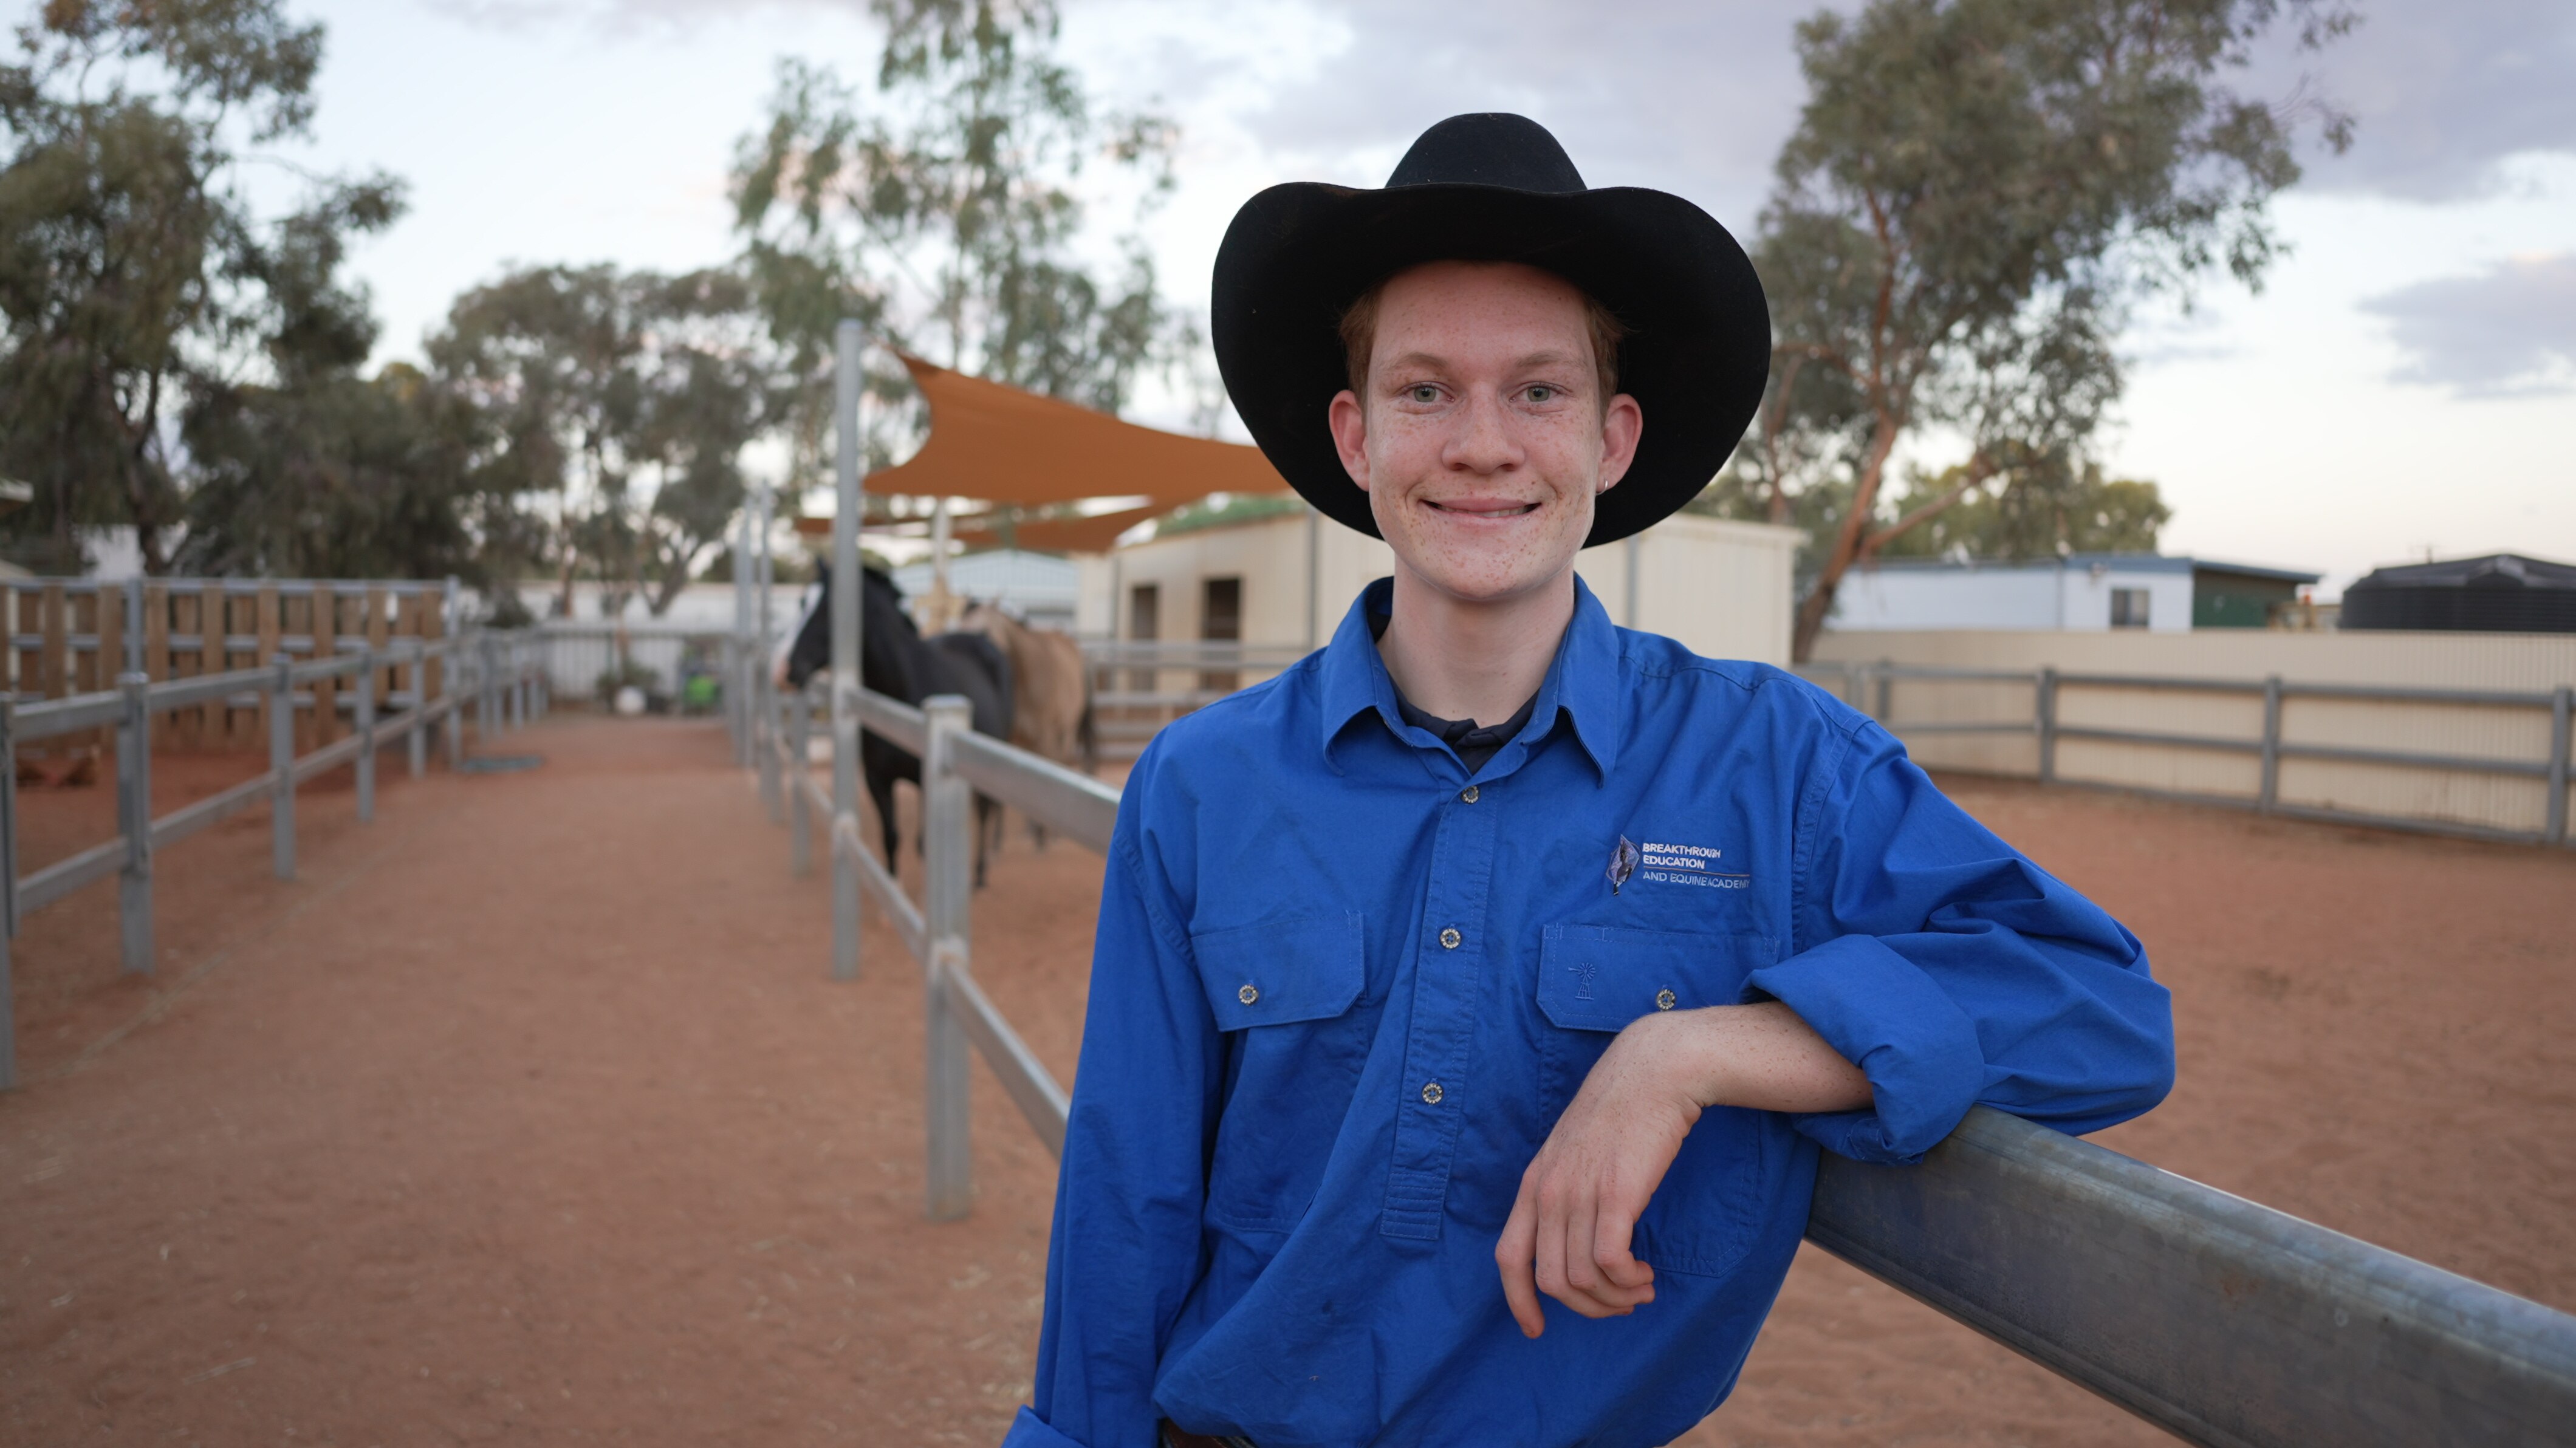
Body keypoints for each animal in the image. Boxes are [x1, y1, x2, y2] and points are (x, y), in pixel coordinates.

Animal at [785, 564, 1014, 887]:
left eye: (830, 607)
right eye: (803, 602)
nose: (790, 668)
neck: (901, 693)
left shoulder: (926, 783)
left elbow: (924, 844)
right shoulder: (877, 780)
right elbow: (891, 837)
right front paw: (891, 888)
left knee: (985, 810)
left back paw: (980, 872)